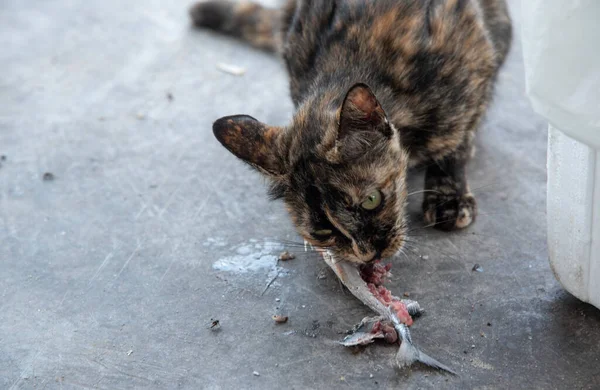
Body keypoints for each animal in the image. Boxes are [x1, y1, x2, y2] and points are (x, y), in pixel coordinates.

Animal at [189, 0, 510, 264]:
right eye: (322, 230)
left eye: (372, 200)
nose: (369, 253)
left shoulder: (476, 61)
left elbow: (459, 141)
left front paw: (449, 197)